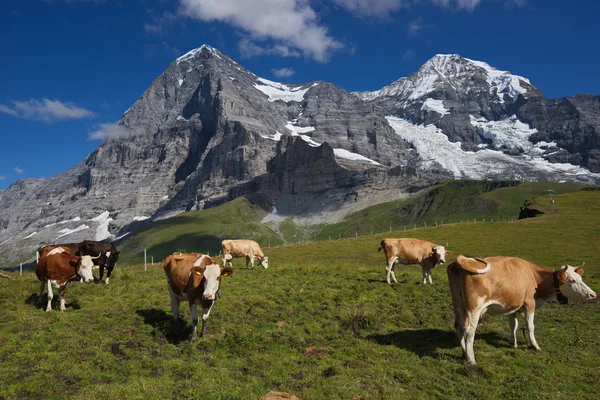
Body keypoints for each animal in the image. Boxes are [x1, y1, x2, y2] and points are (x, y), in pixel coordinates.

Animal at [446, 255, 596, 364]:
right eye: (572, 280)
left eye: (580, 278)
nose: (593, 294)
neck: (534, 275)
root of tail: (462, 260)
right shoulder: (530, 303)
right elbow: (530, 326)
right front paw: (535, 345)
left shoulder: (512, 305)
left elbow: (513, 324)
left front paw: (513, 343)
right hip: (474, 308)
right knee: (470, 331)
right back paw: (471, 359)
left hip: (458, 305)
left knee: (459, 326)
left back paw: (464, 353)